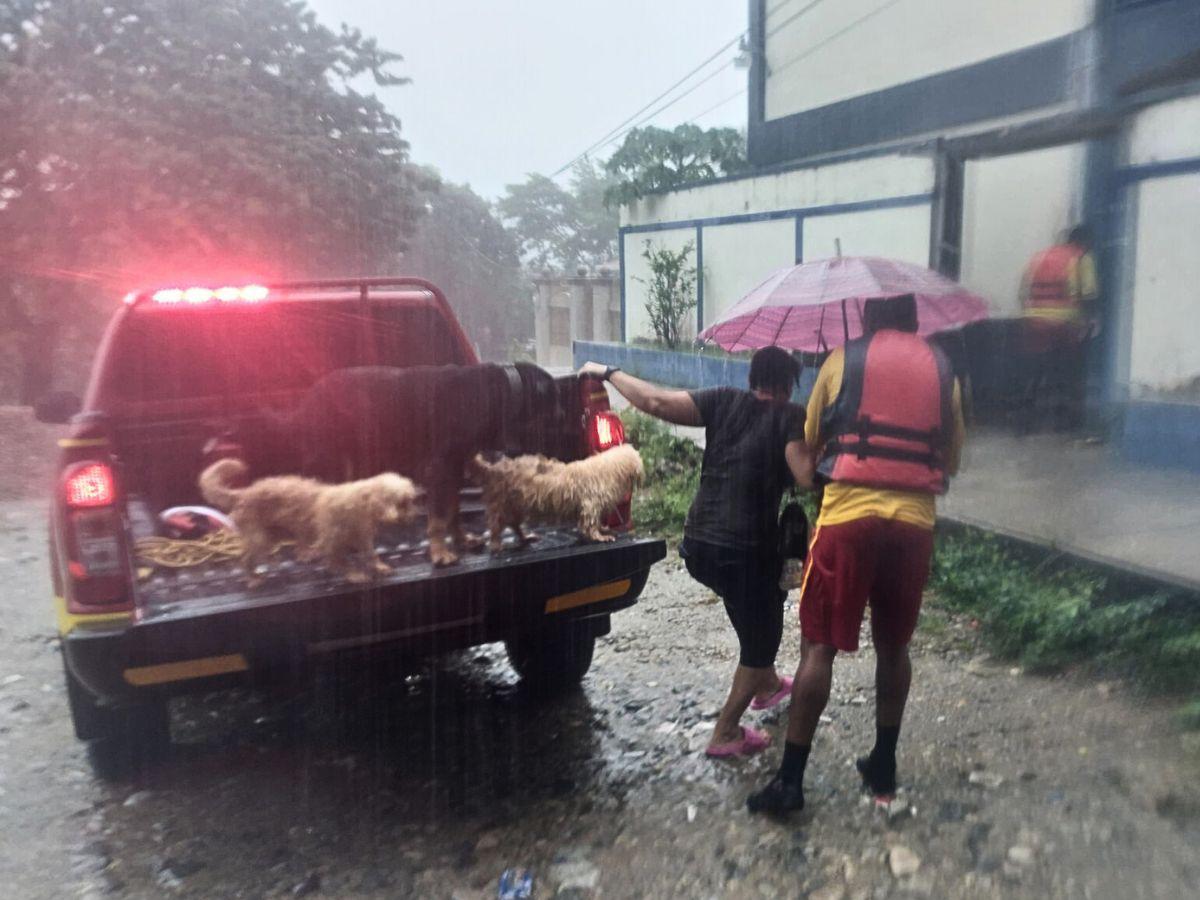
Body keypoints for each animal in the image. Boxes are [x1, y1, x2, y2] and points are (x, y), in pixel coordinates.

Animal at [199, 460, 420, 588]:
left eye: (408, 502)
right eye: (401, 503)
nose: (411, 517)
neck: (358, 507)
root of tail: (243, 493)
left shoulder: (363, 538)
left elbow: (371, 554)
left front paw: (380, 566)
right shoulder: (331, 543)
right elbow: (341, 561)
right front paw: (355, 575)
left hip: (274, 534)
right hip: (259, 538)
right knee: (245, 559)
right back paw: (254, 578)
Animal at [470, 441, 648, 554]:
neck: (607, 470)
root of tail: (493, 469)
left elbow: (595, 522)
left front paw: (603, 529)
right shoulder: (590, 505)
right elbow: (589, 524)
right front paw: (601, 536)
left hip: (516, 506)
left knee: (514, 525)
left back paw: (526, 537)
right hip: (503, 505)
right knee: (496, 526)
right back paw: (496, 545)